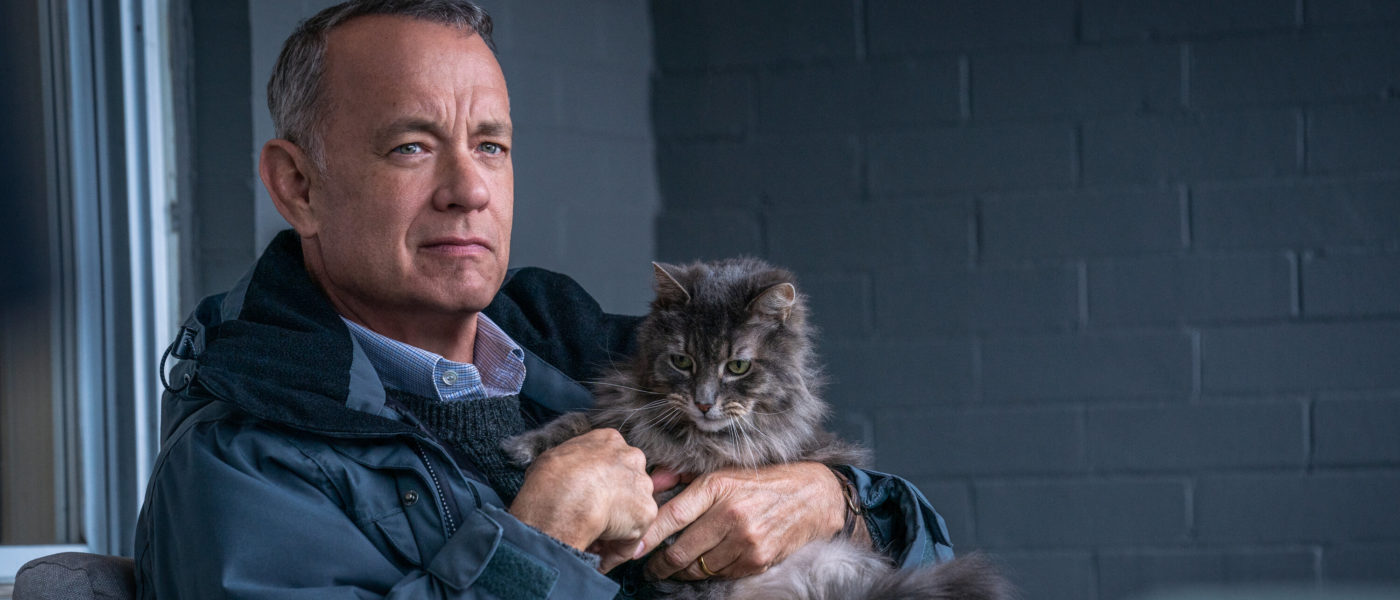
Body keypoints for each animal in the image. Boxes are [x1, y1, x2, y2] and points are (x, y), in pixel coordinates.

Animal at [504, 258, 1013, 600]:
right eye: (682, 361)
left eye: (737, 366)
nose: (704, 401)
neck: (693, 436)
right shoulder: (620, 417)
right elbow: (578, 424)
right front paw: (524, 448)